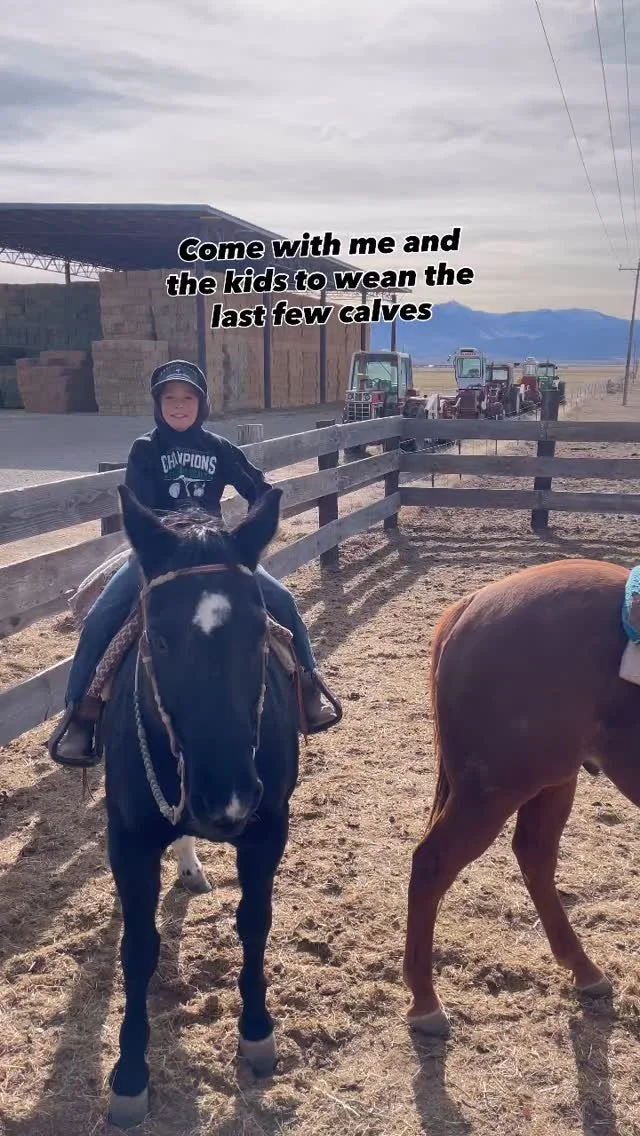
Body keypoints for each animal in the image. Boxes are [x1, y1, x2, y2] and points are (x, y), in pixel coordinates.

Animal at [98, 485, 299, 1128]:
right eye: (160, 639)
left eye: (260, 633)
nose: (225, 795)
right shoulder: (128, 841)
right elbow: (137, 950)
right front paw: (130, 1075)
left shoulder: (269, 828)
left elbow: (255, 922)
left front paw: (257, 1034)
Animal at [403, 557, 640, 1037]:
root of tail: (471, 604)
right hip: (491, 793)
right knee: (432, 864)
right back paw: (425, 1002)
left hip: (551, 781)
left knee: (534, 856)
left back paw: (584, 969)